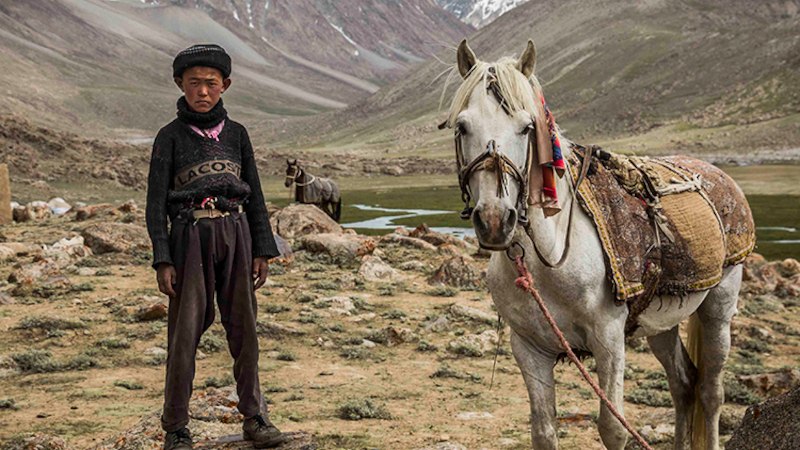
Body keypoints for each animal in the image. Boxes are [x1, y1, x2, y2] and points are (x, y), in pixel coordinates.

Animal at [441, 39, 753, 450]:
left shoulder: (608, 339)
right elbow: (543, 430)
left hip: (719, 304)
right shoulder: (529, 347)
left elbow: (613, 427)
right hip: (662, 322)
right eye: (462, 126)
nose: (495, 220)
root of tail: (718, 174)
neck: (551, 256)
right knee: (683, 383)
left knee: (710, 390)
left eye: (527, 128)